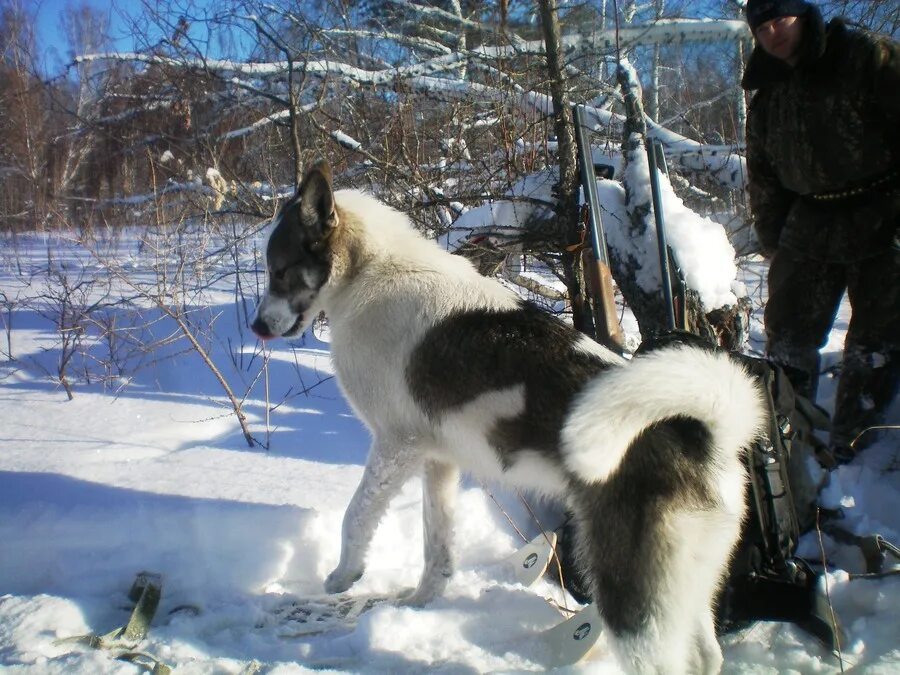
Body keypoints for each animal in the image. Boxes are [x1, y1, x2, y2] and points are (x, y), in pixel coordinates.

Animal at [253, 160, 768, 675]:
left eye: (279, 271)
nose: (256, 326)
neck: (368, 273)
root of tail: (700, 435)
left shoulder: (395, 446)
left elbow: (356, 516)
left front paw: (344, 575)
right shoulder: (436, 461)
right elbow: (436, 548)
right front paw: (418, 605)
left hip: (630, 597)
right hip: (683, 590)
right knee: (706, 655)